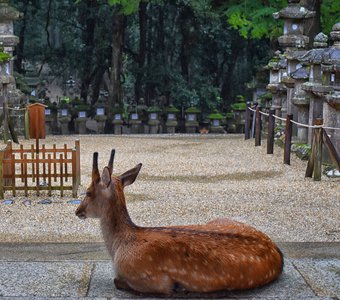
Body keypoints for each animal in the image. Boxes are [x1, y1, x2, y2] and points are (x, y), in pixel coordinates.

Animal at [75, 151, 284, 296]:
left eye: (88, 192)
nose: (77, 211)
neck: (119, 247)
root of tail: (277, 252)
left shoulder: (152, 278)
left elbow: (117, 281)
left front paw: (180, 288)